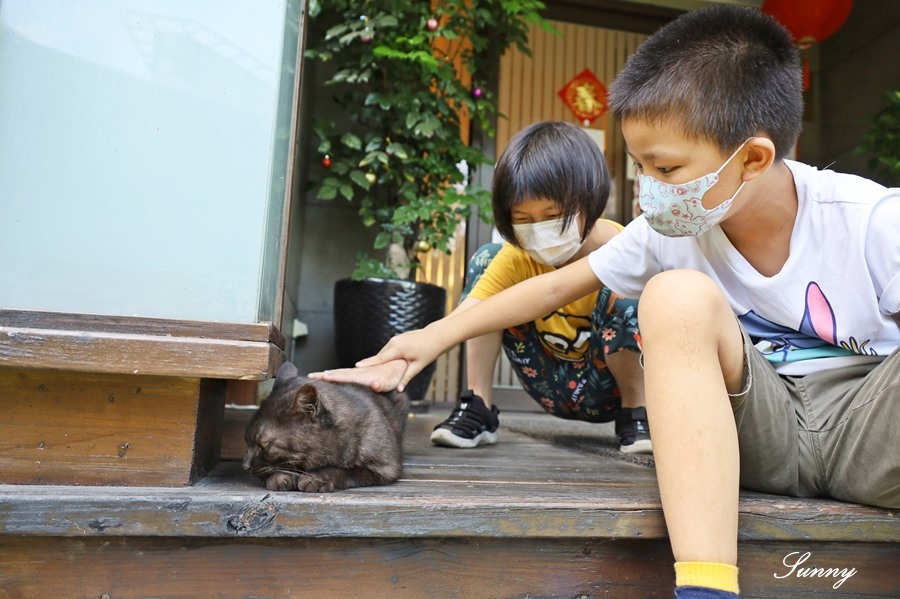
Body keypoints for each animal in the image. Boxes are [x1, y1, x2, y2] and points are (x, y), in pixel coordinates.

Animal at [239, 360, 408, 492]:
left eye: (264, 444)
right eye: (245, 438)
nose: (245, 466)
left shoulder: (385, 468)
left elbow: (347, 471)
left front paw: (317, 478)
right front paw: (281, 477)